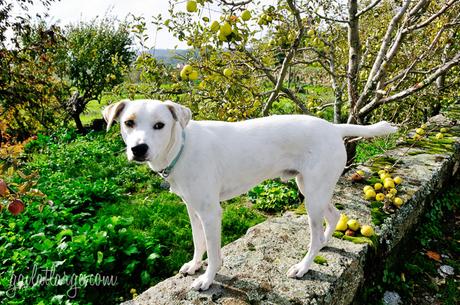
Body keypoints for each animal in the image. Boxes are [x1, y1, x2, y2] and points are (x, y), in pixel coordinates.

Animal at [102, 99, 398, 290]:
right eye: (129, 123)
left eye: (160, 125)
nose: (138, 149)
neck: (181, 147)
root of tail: (333, 127)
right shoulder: (192, 209)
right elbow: (198, 242)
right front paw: (195, 265)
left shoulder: (211, 213)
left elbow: (214, 252)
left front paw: (207, 279)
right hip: (312, 189)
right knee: (334, 214)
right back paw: (326, 242)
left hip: (312, 196)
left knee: (314, 236)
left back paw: (304, 266)